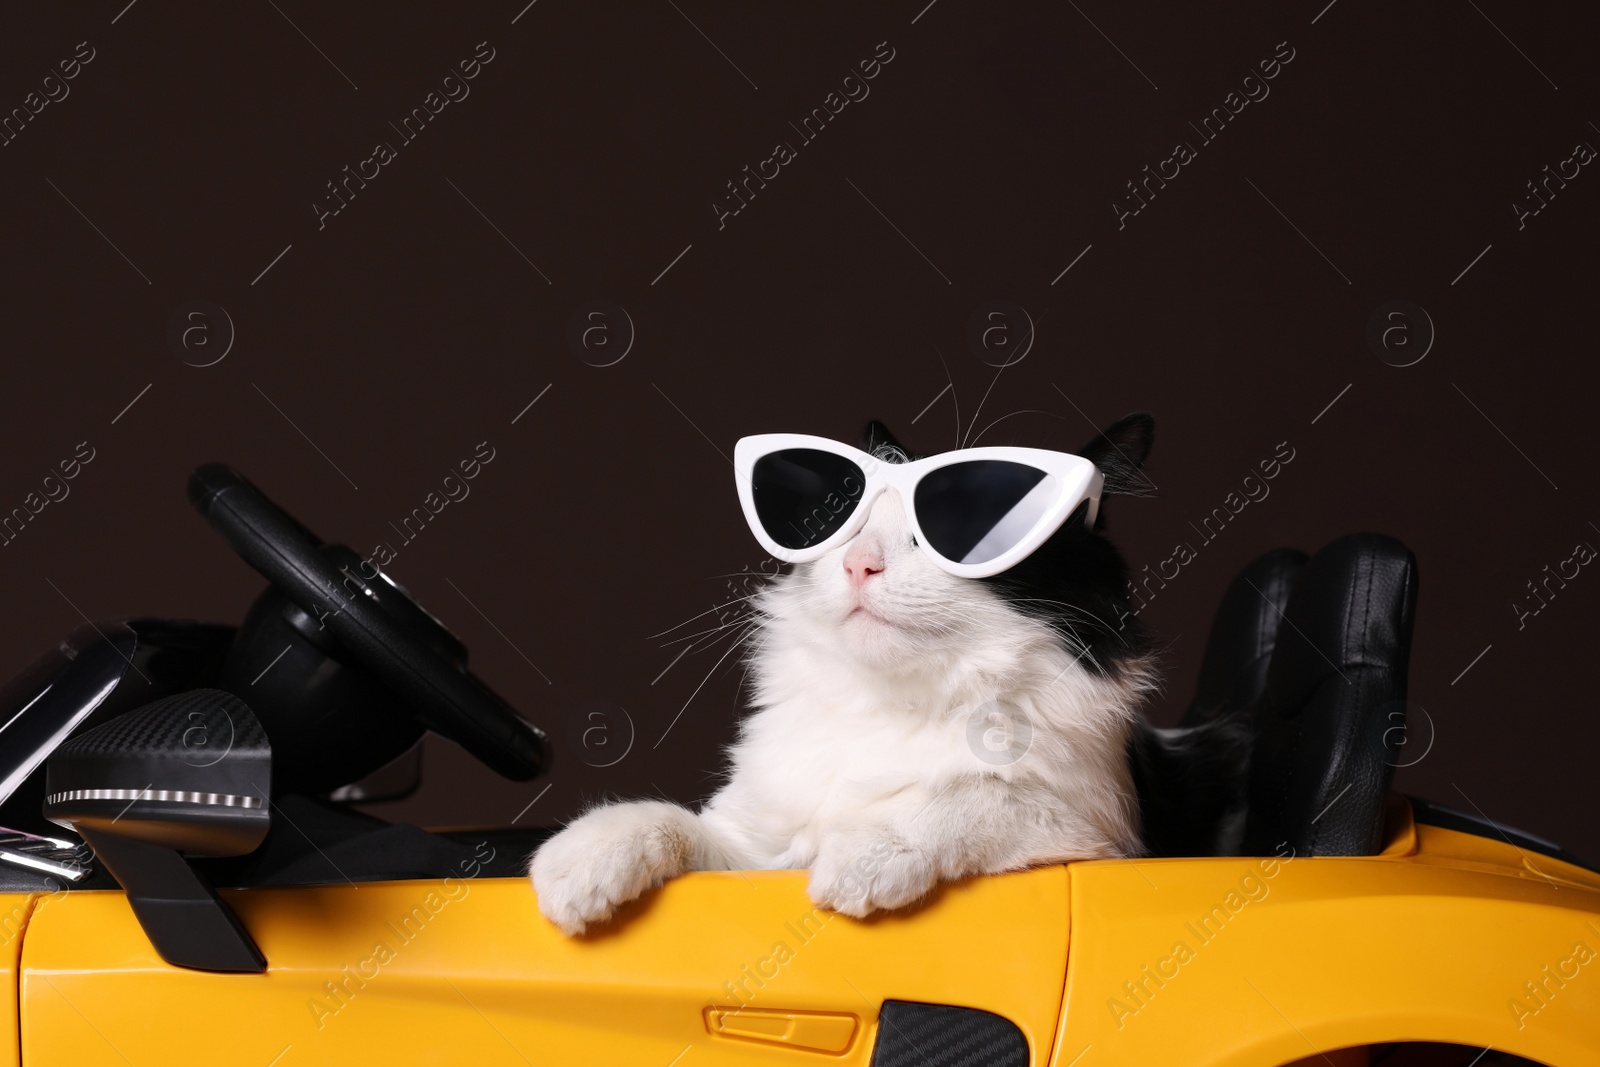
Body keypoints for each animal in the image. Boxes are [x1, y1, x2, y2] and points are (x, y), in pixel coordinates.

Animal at [534, 412, 1209, 934]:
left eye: (954, 530)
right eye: (841, 523)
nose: (859, 564)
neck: (891, 701)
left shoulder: (1100, 840)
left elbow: (979, 792)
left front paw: (867, 850)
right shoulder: (756, 851)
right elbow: (671, 822)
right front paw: (580, 858)